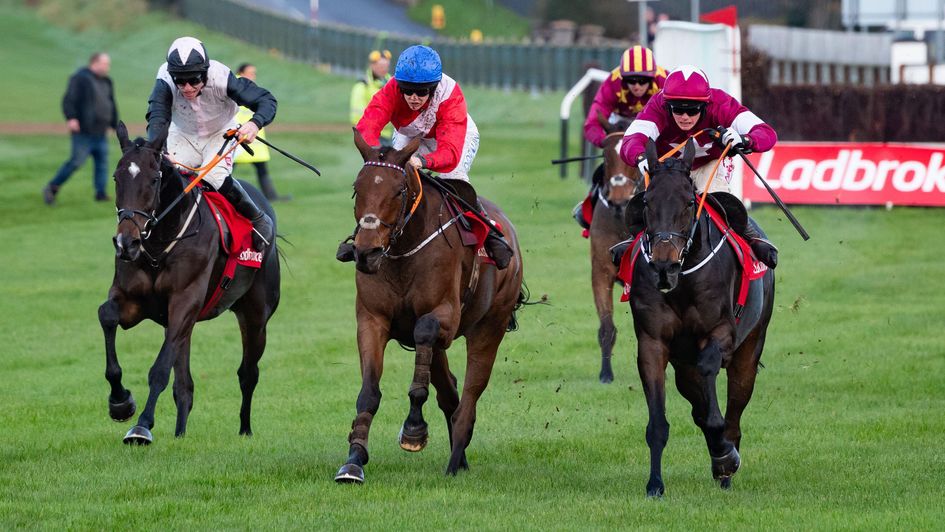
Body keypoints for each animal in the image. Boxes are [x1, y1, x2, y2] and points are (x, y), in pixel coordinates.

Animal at [98, 122, 280, 446]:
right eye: (117, 177)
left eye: (153, 179)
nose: (126, 242)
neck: (160, 244)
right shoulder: (134, 302)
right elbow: (106, 316)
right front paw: (120, 402)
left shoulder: (184, 302)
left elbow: (159, 369)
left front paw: (141, 426)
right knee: (185, 385)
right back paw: (180, 433)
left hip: (256, 316)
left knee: (248, 373)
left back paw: (245, 429)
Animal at [332, 131, 524, 484]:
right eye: (357, 188)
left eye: (399, 191)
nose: (366, 253)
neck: (403, 251)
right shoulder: (372, 320)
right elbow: (369, 392)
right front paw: (353, 461)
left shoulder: (444, 318)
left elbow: (425, 336)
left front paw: (413, 429)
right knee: (450, 391)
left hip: (490, 326)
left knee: (470, 395)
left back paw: (455, 459)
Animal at [628, 139, 776, 496]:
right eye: (647, 203)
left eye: (687, 202)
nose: (664, 267)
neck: (683, 281)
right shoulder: (652, 344)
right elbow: (659, 423)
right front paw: (655, 485)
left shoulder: (722, 333)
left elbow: (712, 392)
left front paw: (724, 455)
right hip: (682, 364)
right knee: (696, 397)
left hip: (750, 349)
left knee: (733, 413)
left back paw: (726, 465)